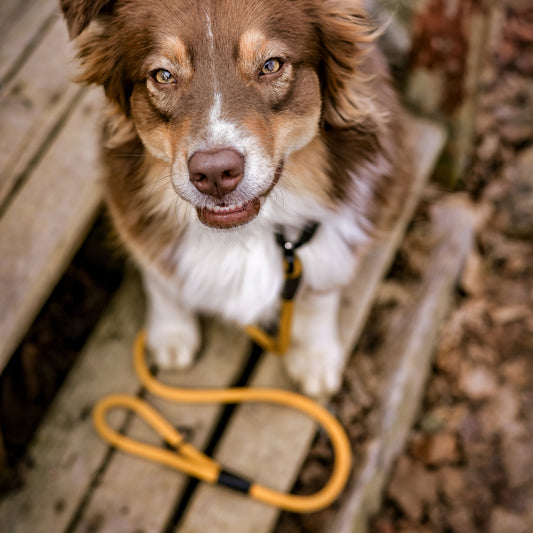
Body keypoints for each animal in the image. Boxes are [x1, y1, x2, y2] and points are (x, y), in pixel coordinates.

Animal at [59, 0, 412, 394]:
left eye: (270, 65)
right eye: (163, 75)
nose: (214, 174)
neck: (246, 233)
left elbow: (320, 292)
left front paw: (315, 355)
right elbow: (161, 281)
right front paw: (171, 333)